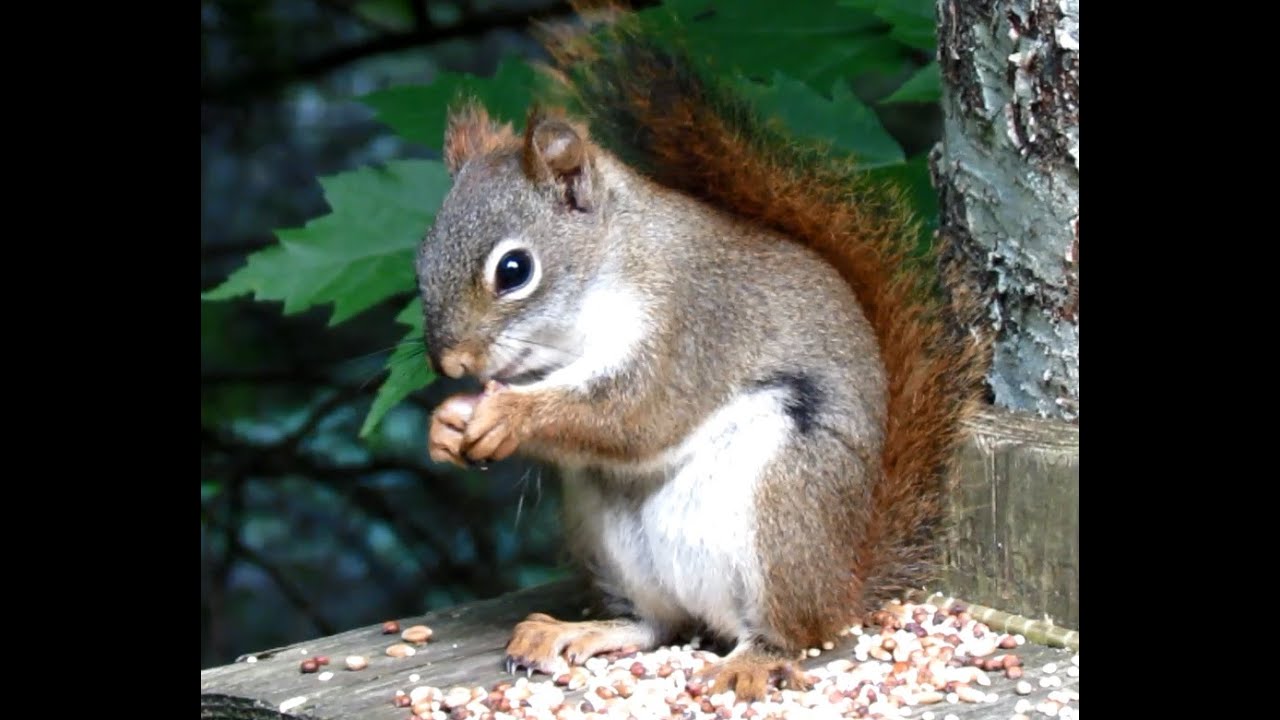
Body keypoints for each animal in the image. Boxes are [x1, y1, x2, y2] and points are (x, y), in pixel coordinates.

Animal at [415, 6, 987, 702]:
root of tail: (845, 584)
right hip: (609, 534)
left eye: (514, 270)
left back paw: (753, 660)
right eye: (420, 262)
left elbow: (637, 415)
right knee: (657, 623)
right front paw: (446, 426)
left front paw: (510, 416)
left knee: (789, 629)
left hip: (782, 508)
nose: (451, 365)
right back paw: (573, 632)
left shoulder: (689, 324)